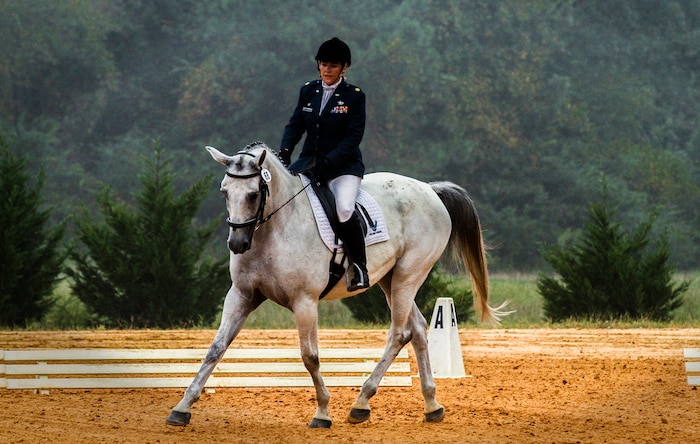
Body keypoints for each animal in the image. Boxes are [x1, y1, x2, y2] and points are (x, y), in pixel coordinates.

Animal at [166, 141, 509, 428]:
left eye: (253, 194)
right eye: (224, 191)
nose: (237, 244)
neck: (274, 230)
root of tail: (430, 190)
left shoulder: (304, 302)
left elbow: (310, 356)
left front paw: (322, 412)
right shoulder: (241, 296)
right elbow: (216, 348)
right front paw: (182, 407)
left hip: (409, 275)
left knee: (400, 333)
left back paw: (361, 402)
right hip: (390, 280)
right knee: (419, 329)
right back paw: (431, 404)